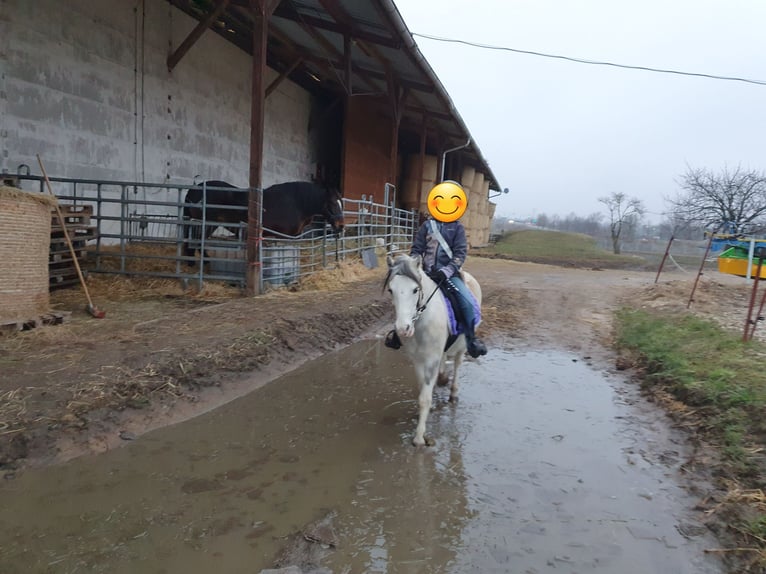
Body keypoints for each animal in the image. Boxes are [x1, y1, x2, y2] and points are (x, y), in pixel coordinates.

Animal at [183, 181, 344, 264]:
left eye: (341, 203)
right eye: (332, 204)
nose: (341, 227)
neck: (297, 203)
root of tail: (195, 189)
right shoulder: (282, 236)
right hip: (205, 224)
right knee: (196, 243)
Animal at [384, 254, 486, 448]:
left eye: (415, 290)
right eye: (391, 290)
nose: (403, 329)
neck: (422, 321)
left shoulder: (430, 359)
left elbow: (424, 398)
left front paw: (419, 438)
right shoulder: (417, 360)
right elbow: (422, 391)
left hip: (463, 346)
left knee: (457, 364)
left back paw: (453, 394)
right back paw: (442, 378)